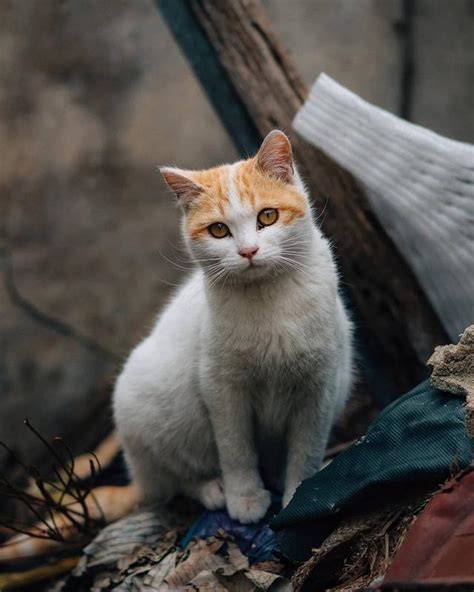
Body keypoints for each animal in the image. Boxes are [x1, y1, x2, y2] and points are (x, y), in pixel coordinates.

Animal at [114, 130, 352, 524]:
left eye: (267, 216)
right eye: (218, 230)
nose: (248, 251)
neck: (267, 299)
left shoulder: (320, 388)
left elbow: (306, 450)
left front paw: (299, 496)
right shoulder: (222, 389)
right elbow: (236, 449)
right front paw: (245, 499)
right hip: (142, 411)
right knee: (171, 482)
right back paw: (213, 490)